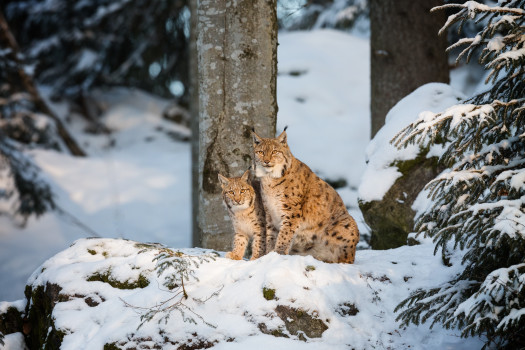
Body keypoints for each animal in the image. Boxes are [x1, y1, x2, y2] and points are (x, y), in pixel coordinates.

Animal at [252, 129, 358, 262]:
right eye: (261, 152)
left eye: (275, 151)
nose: (266, 161)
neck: (270, 178)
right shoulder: (270, 212)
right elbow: (271, 236)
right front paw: (268, 256)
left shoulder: (292, 212)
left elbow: (284, 236)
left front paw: (278, 255)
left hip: (349, 223)